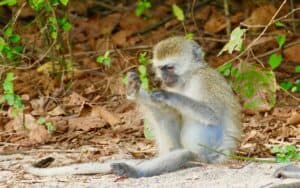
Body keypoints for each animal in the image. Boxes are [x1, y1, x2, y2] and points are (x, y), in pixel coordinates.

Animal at [24, 36, 243, 178]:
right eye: (161, 69)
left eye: (169, 68)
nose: (164, 78)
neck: (188, 79)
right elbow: (169, 113)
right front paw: (138, 90)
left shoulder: (206, 81)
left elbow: (212, 115)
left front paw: (167, 95)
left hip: (209, 157)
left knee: (186, 154)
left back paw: (135, 171)